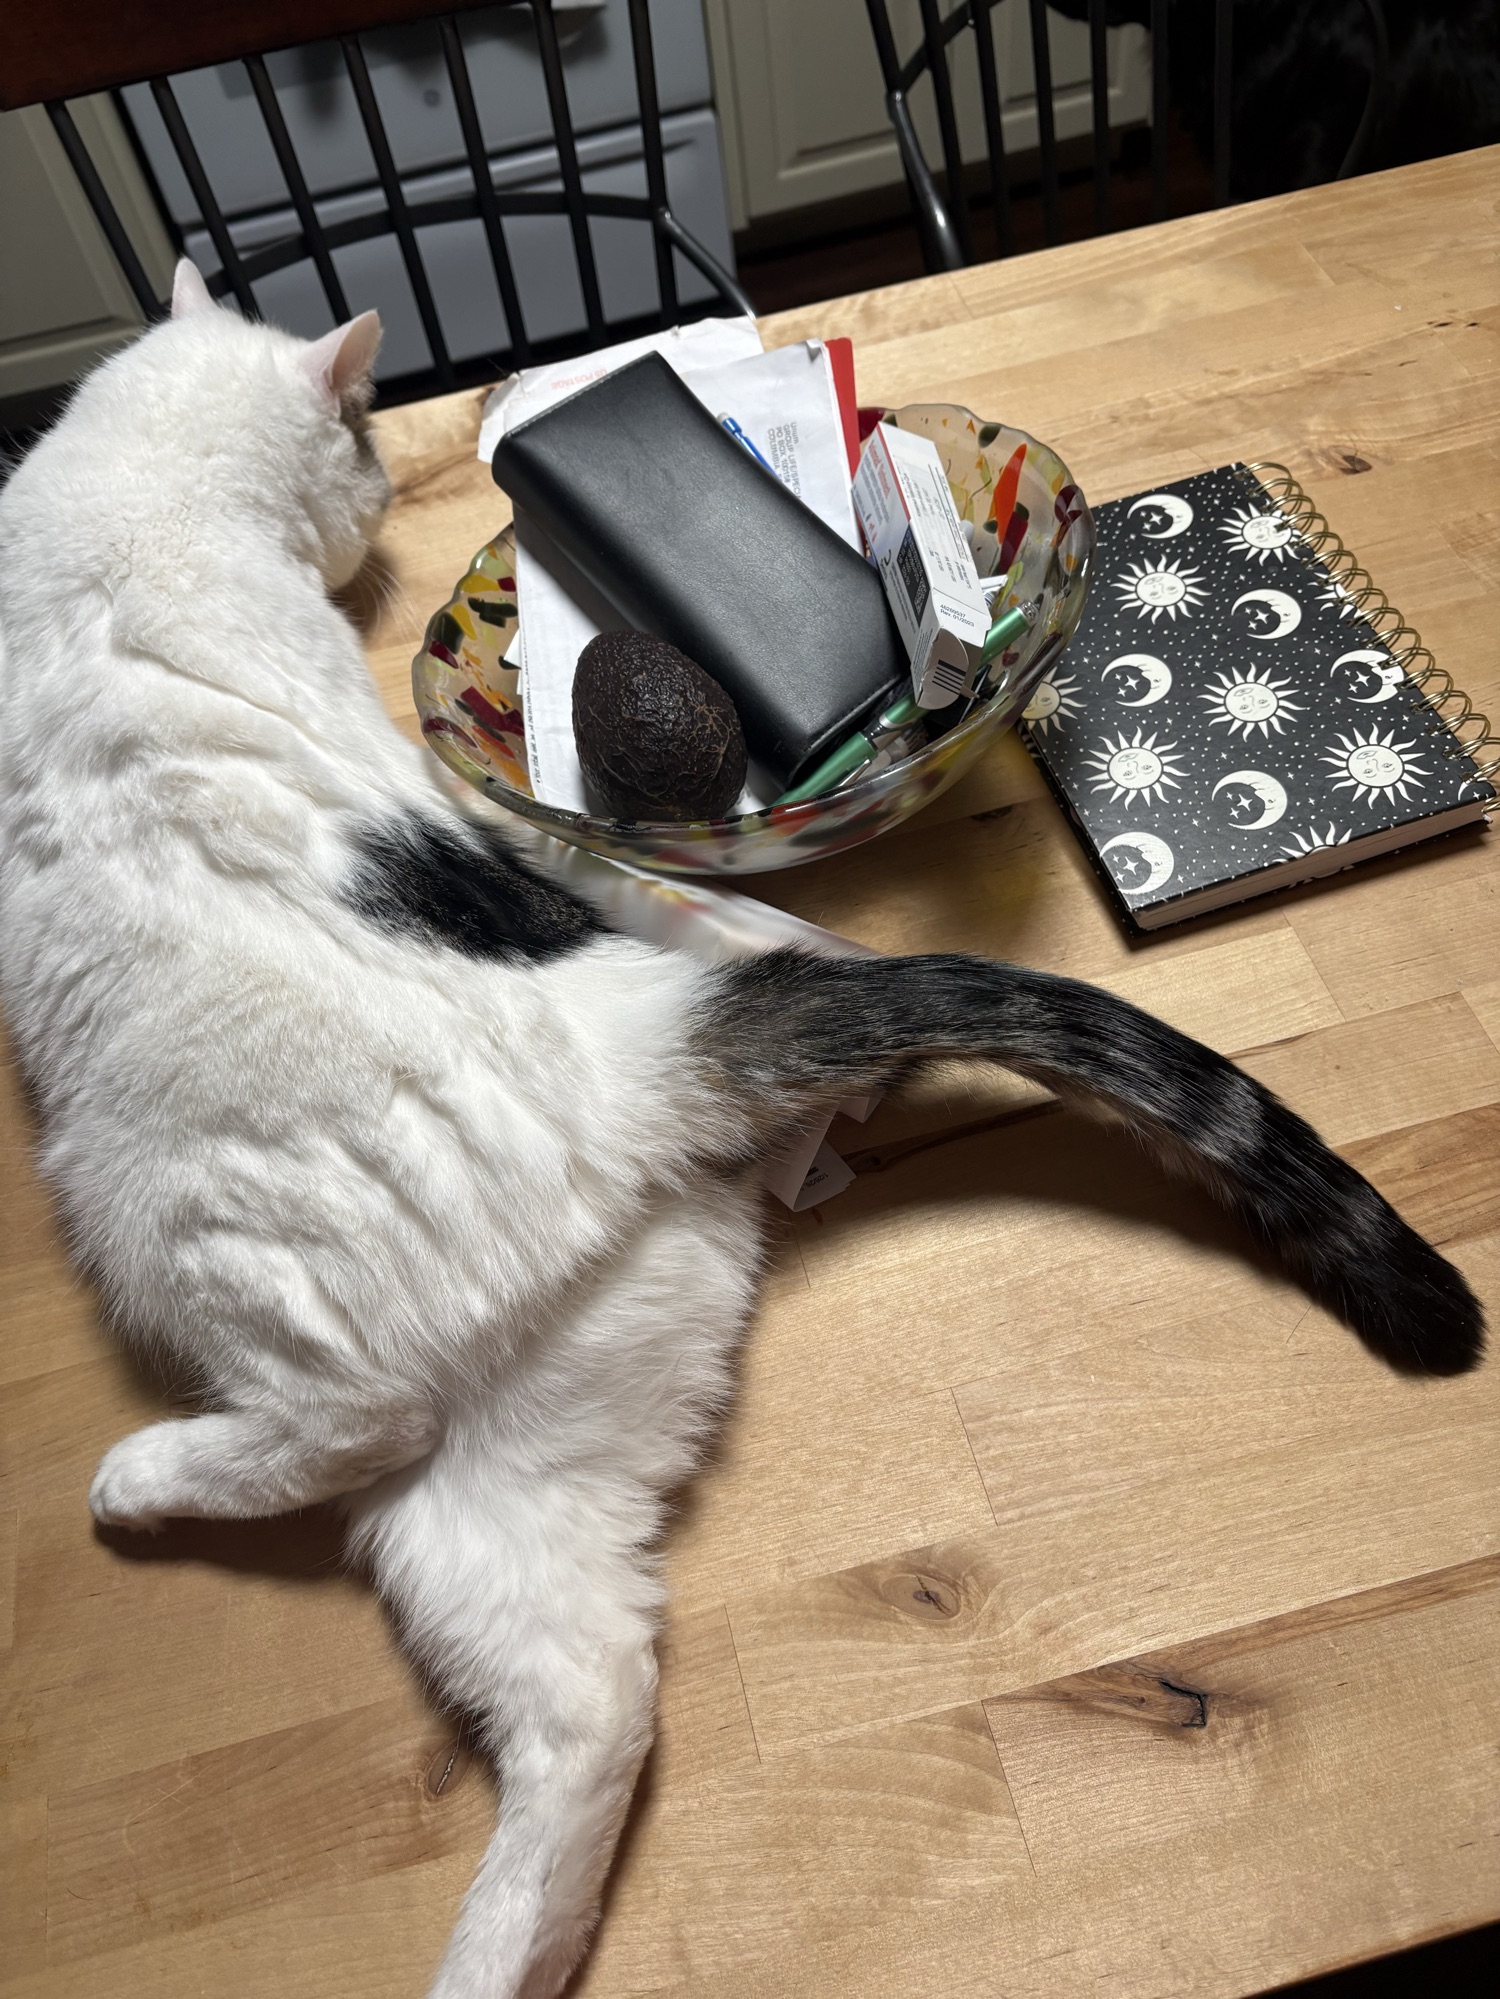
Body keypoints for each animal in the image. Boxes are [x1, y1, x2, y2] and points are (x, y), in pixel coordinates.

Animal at [0, 261, 1482, 1999]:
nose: (369, 506)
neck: (136, 487)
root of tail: (644, 1045)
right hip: (521, 1469)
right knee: (589, 1701)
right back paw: (498, 1960)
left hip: (207, 1234)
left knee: (338, 1423)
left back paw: (141, 1475)